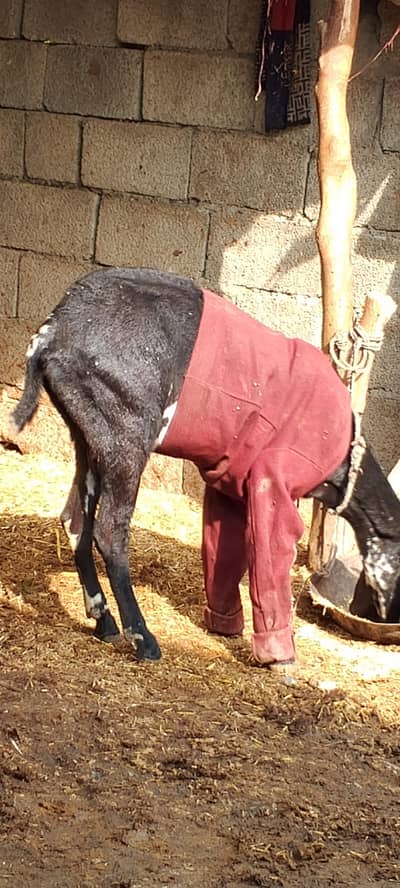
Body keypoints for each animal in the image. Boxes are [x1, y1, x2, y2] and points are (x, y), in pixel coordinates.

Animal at [12, 268, 400, 666]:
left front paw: (225, 626)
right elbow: (273, 555)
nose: (379, 616)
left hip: (87, 436)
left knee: (75, 520)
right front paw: (279, 656)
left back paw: (103, 621)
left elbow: (225, 550)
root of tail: (52, 333)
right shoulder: (274, 480)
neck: (343, 456)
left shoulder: (230, 480)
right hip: (125, 433)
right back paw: (143, 638)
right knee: (109, 532)